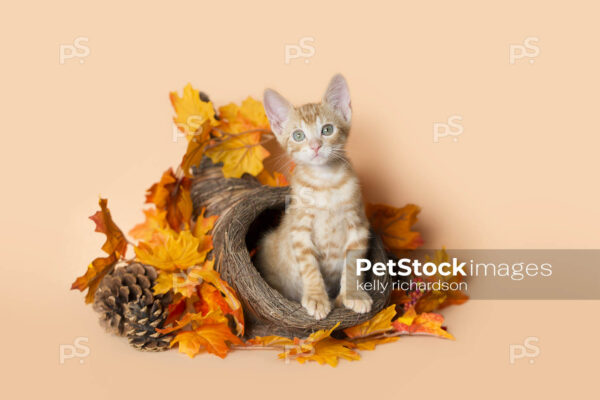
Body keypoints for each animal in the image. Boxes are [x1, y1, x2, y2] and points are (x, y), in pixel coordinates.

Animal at [256, 74, 372, 318]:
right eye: (298, 135)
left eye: (327, 130)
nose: (315, 146)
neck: (326, 183)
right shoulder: (299, 229)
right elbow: (309, 266)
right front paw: (317, 298)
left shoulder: (358, 224)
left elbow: (353, 263)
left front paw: (352, 295)